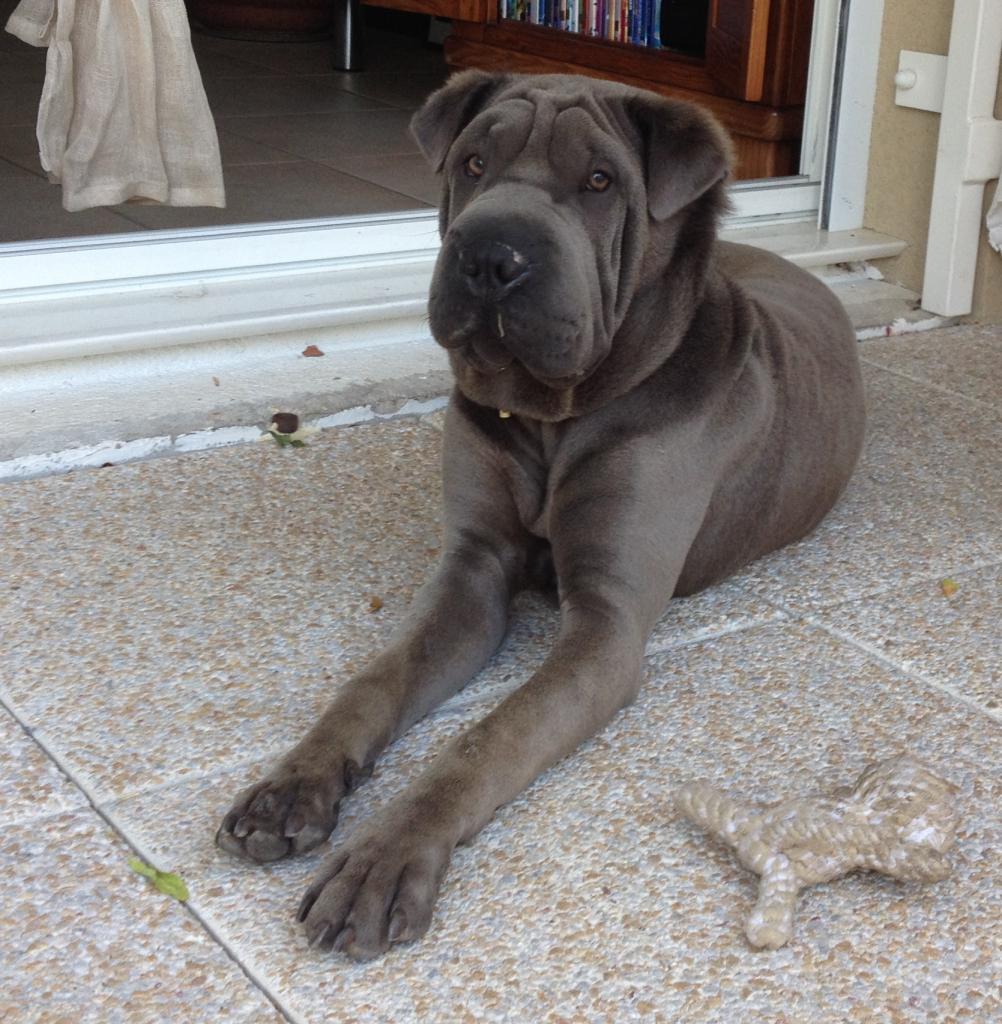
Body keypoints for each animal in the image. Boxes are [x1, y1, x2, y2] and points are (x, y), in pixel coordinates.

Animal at [215, 72, 867, 958]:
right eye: (473, 162)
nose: (490, 255)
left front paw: (385, 856)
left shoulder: (604, 625)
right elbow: (374, 680)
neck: (556, 413)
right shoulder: (472, 569)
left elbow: (487, 737)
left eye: (599, 181)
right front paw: (292, 785)